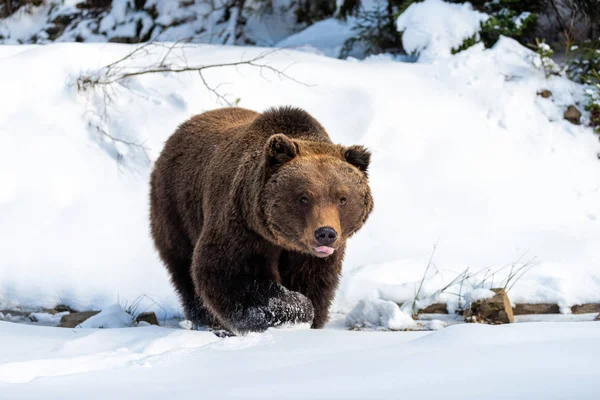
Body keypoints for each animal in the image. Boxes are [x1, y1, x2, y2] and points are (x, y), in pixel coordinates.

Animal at [150, 106, 372, 334]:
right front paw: (297, 310)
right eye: (303, 197)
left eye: (342, 198)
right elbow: (231, 272)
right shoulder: (243, 225)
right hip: (176, 207)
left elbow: (313, 281)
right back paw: (208, 321)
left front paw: (309, 318)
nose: (325, 233)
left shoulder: (312, 256)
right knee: (183, 265)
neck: (284, 241)